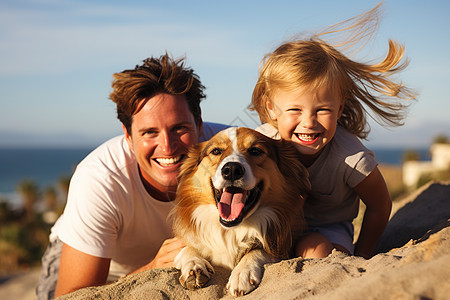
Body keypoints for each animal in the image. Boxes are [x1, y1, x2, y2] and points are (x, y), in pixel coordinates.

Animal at [172, 126, 310, 296]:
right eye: (216, 151)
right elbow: (188, 247)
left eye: (255, 151)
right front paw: (193, 264)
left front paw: (242, 273)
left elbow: (258, 250)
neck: (231, 231)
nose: (231, 169)